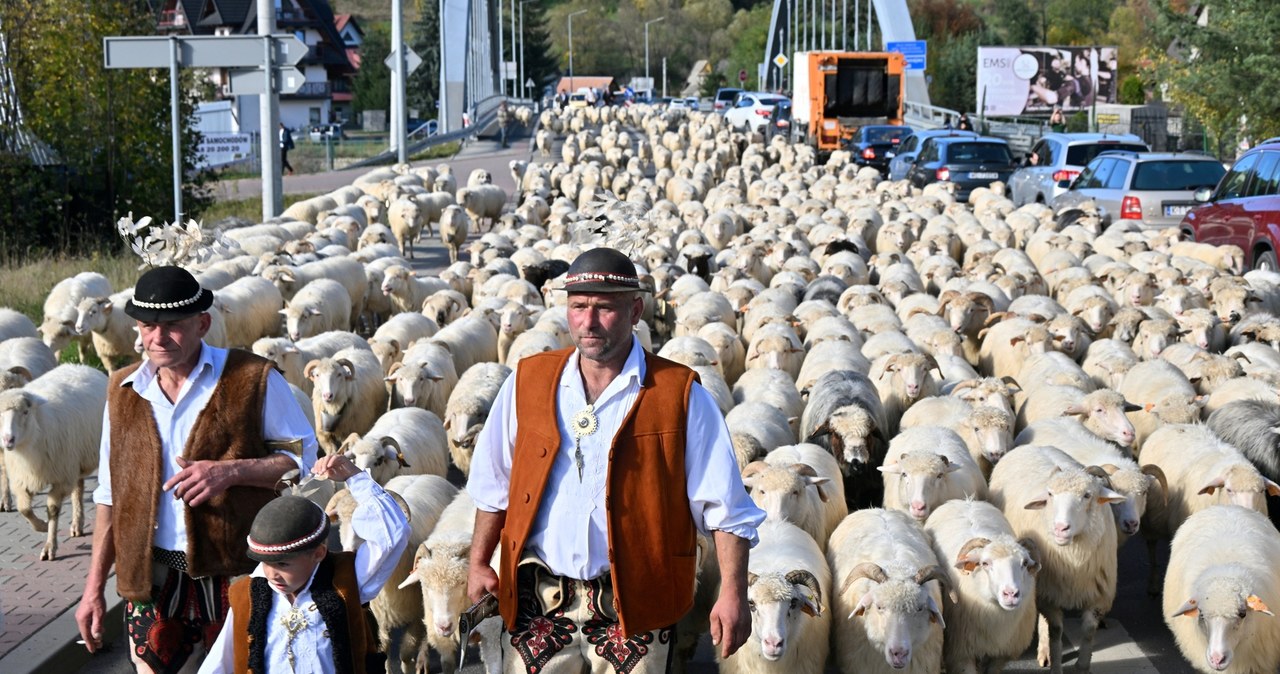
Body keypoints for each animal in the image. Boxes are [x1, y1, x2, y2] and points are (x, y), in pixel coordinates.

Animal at [0, 365, 107, 562]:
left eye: (25, 412)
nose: (8, 439)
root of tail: (81, 366)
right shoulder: (21, 478)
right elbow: (24, 509)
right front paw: (41, 526)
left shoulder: (61, 478)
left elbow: (53, 509)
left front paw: (50, 546)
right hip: (74, 459)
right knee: (78, 488)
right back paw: (77, 524)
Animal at [926, 498, 1044, 674]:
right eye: (985, 563)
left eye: (1024, 563)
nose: (1011, 594)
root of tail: (966, 500)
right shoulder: (962, 653)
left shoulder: (1001, 654)